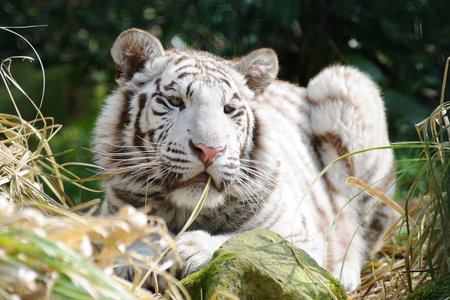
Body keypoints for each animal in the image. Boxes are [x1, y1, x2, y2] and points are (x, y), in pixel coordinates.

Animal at [94, 28, 394, 292]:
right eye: (175, 101)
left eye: (228, 109)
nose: (210, 150)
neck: (187, 210)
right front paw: (135, 258)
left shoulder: (299, 238)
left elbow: (246, 240)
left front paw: (189, 248)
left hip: (342, 83)